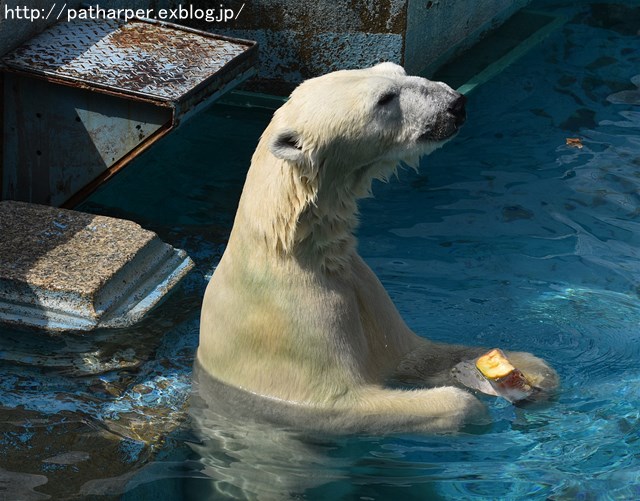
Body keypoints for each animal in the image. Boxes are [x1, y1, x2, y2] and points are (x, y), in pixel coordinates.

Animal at [198, 61, 556, 430]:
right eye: (384, 99)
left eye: (398, 70)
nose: (454, 104)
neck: (298, 249)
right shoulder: (294, 327)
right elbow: (339, 402)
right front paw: (471, 405)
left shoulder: (364, 291)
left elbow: (410, 355)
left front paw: (526, 369)